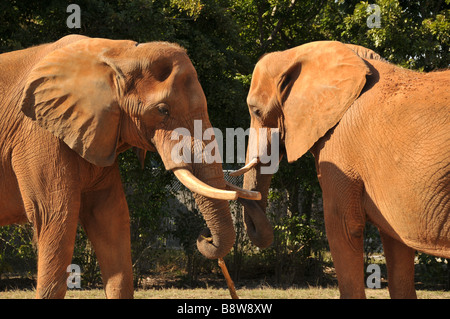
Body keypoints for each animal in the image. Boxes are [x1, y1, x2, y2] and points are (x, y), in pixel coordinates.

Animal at [0, 35, 258, 300]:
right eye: (163, 110)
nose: (204, 236)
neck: (119, 54)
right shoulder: (38, 135)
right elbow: (55, 215)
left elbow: (110, 216)